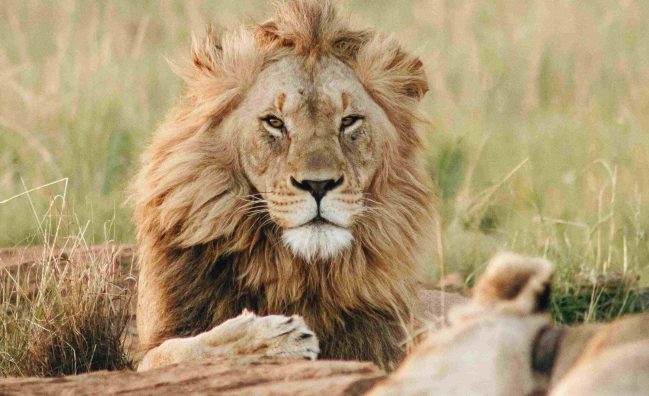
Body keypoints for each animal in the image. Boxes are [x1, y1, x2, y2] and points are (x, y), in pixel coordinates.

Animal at [130, 0, 440, 372]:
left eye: (349, 121)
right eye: (275, 122)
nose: (318, 184)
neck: (296, 271)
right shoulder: (152, 349)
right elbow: (179, 350)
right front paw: (273, 339)